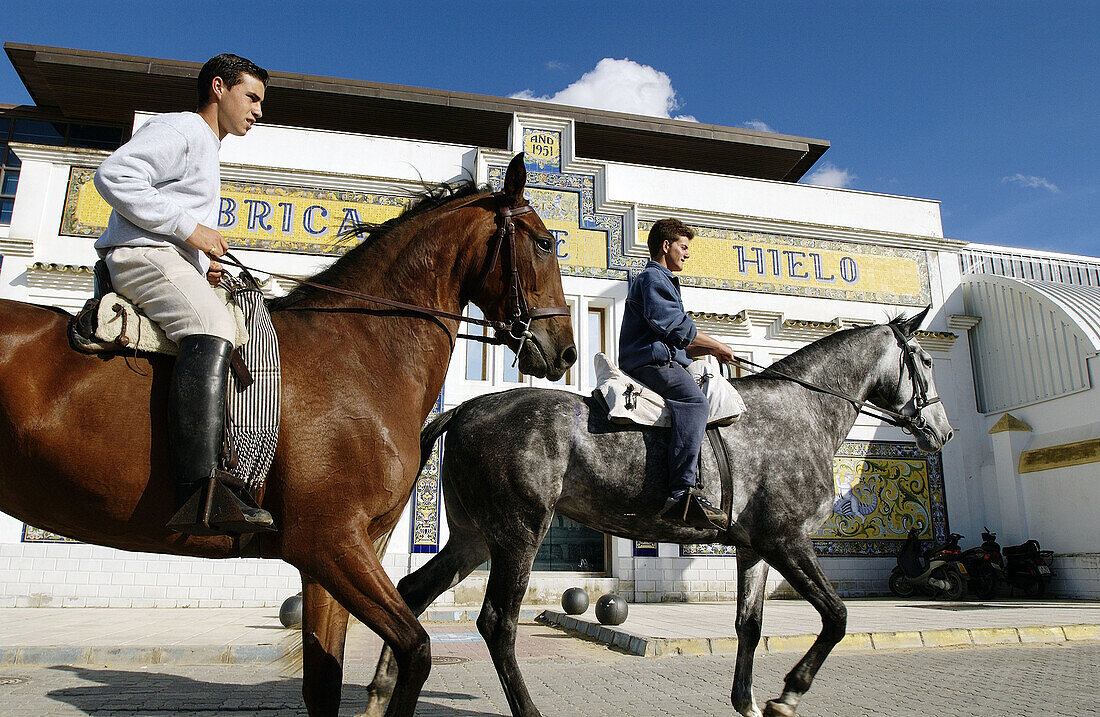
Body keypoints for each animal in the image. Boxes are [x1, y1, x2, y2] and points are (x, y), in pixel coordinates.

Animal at [0, 153, 580, 712]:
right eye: (544, 242)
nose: (566, 351)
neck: (360, 353)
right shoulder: (329, 540)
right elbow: (416, 650)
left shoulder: (332, 557)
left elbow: (325, 684)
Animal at [365, 307, 950, 717]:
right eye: (923, 361)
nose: (943, 431)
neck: (800, 411)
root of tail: (468, 406)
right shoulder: (787, 541)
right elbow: (837, 616)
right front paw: (787, 695)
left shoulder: (754, 550)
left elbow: (750, 624)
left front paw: (746, 701)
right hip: (518, 534)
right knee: (497, 622)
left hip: (473, 538)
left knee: (413, 592)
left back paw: (382, 691)